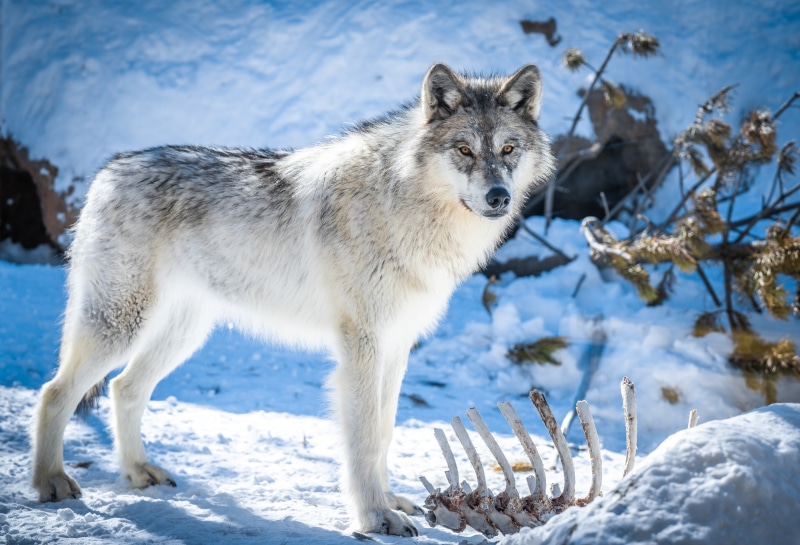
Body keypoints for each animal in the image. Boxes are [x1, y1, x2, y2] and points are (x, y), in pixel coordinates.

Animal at [31, 63, 555, 536]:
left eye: (508, 149)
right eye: (464, 150)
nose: (498, 196)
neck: (405, 207)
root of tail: (107, 172)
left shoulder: (397, 347)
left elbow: (385, 432)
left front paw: (390, 502)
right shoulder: (361, 348)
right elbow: (364, 439)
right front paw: (375, 517)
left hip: (181, 335)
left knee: (124, 387)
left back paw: (139, 473)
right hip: (120, 327)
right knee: (55, 392)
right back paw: (51, 482)